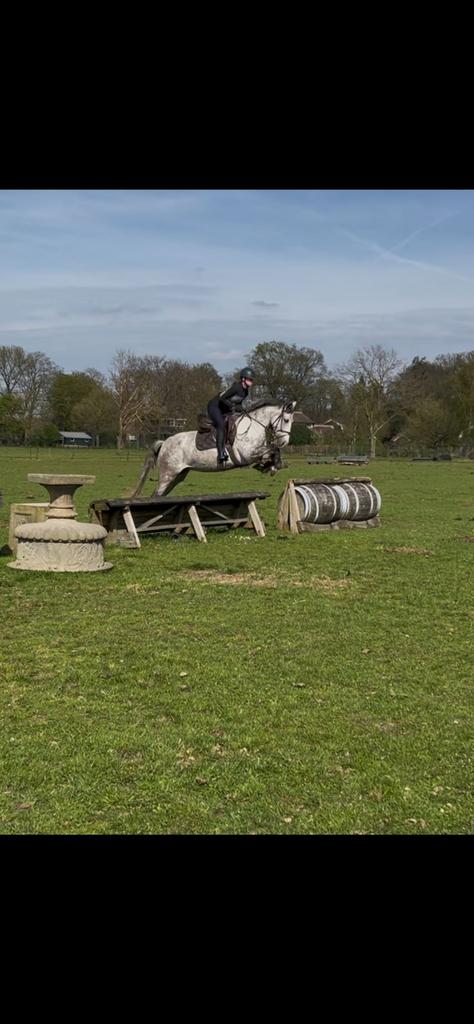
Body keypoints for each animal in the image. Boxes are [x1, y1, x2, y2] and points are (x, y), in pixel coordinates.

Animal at [132, 400, 297, 497]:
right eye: (286, 420)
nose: (285, 442)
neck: (253, 426)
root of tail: (164, 443)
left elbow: (273, 451)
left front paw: (271, 466)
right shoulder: (246, 454)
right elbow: (271, 450)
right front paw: (268, 465)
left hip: (179, 475)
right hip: (168, 473)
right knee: (156, 494)